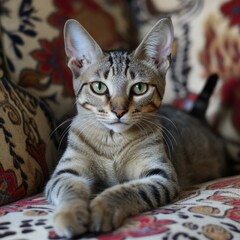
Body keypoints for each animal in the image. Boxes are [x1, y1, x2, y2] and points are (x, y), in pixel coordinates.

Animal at [45, 17, 227, 237]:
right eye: (99, 87)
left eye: (139, 88)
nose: (119, 111)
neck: (113, 142)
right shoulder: (66, 172)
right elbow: (69, 188)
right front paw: (70, 214)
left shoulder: (160, 175)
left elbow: (128, 190)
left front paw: (102, 208)